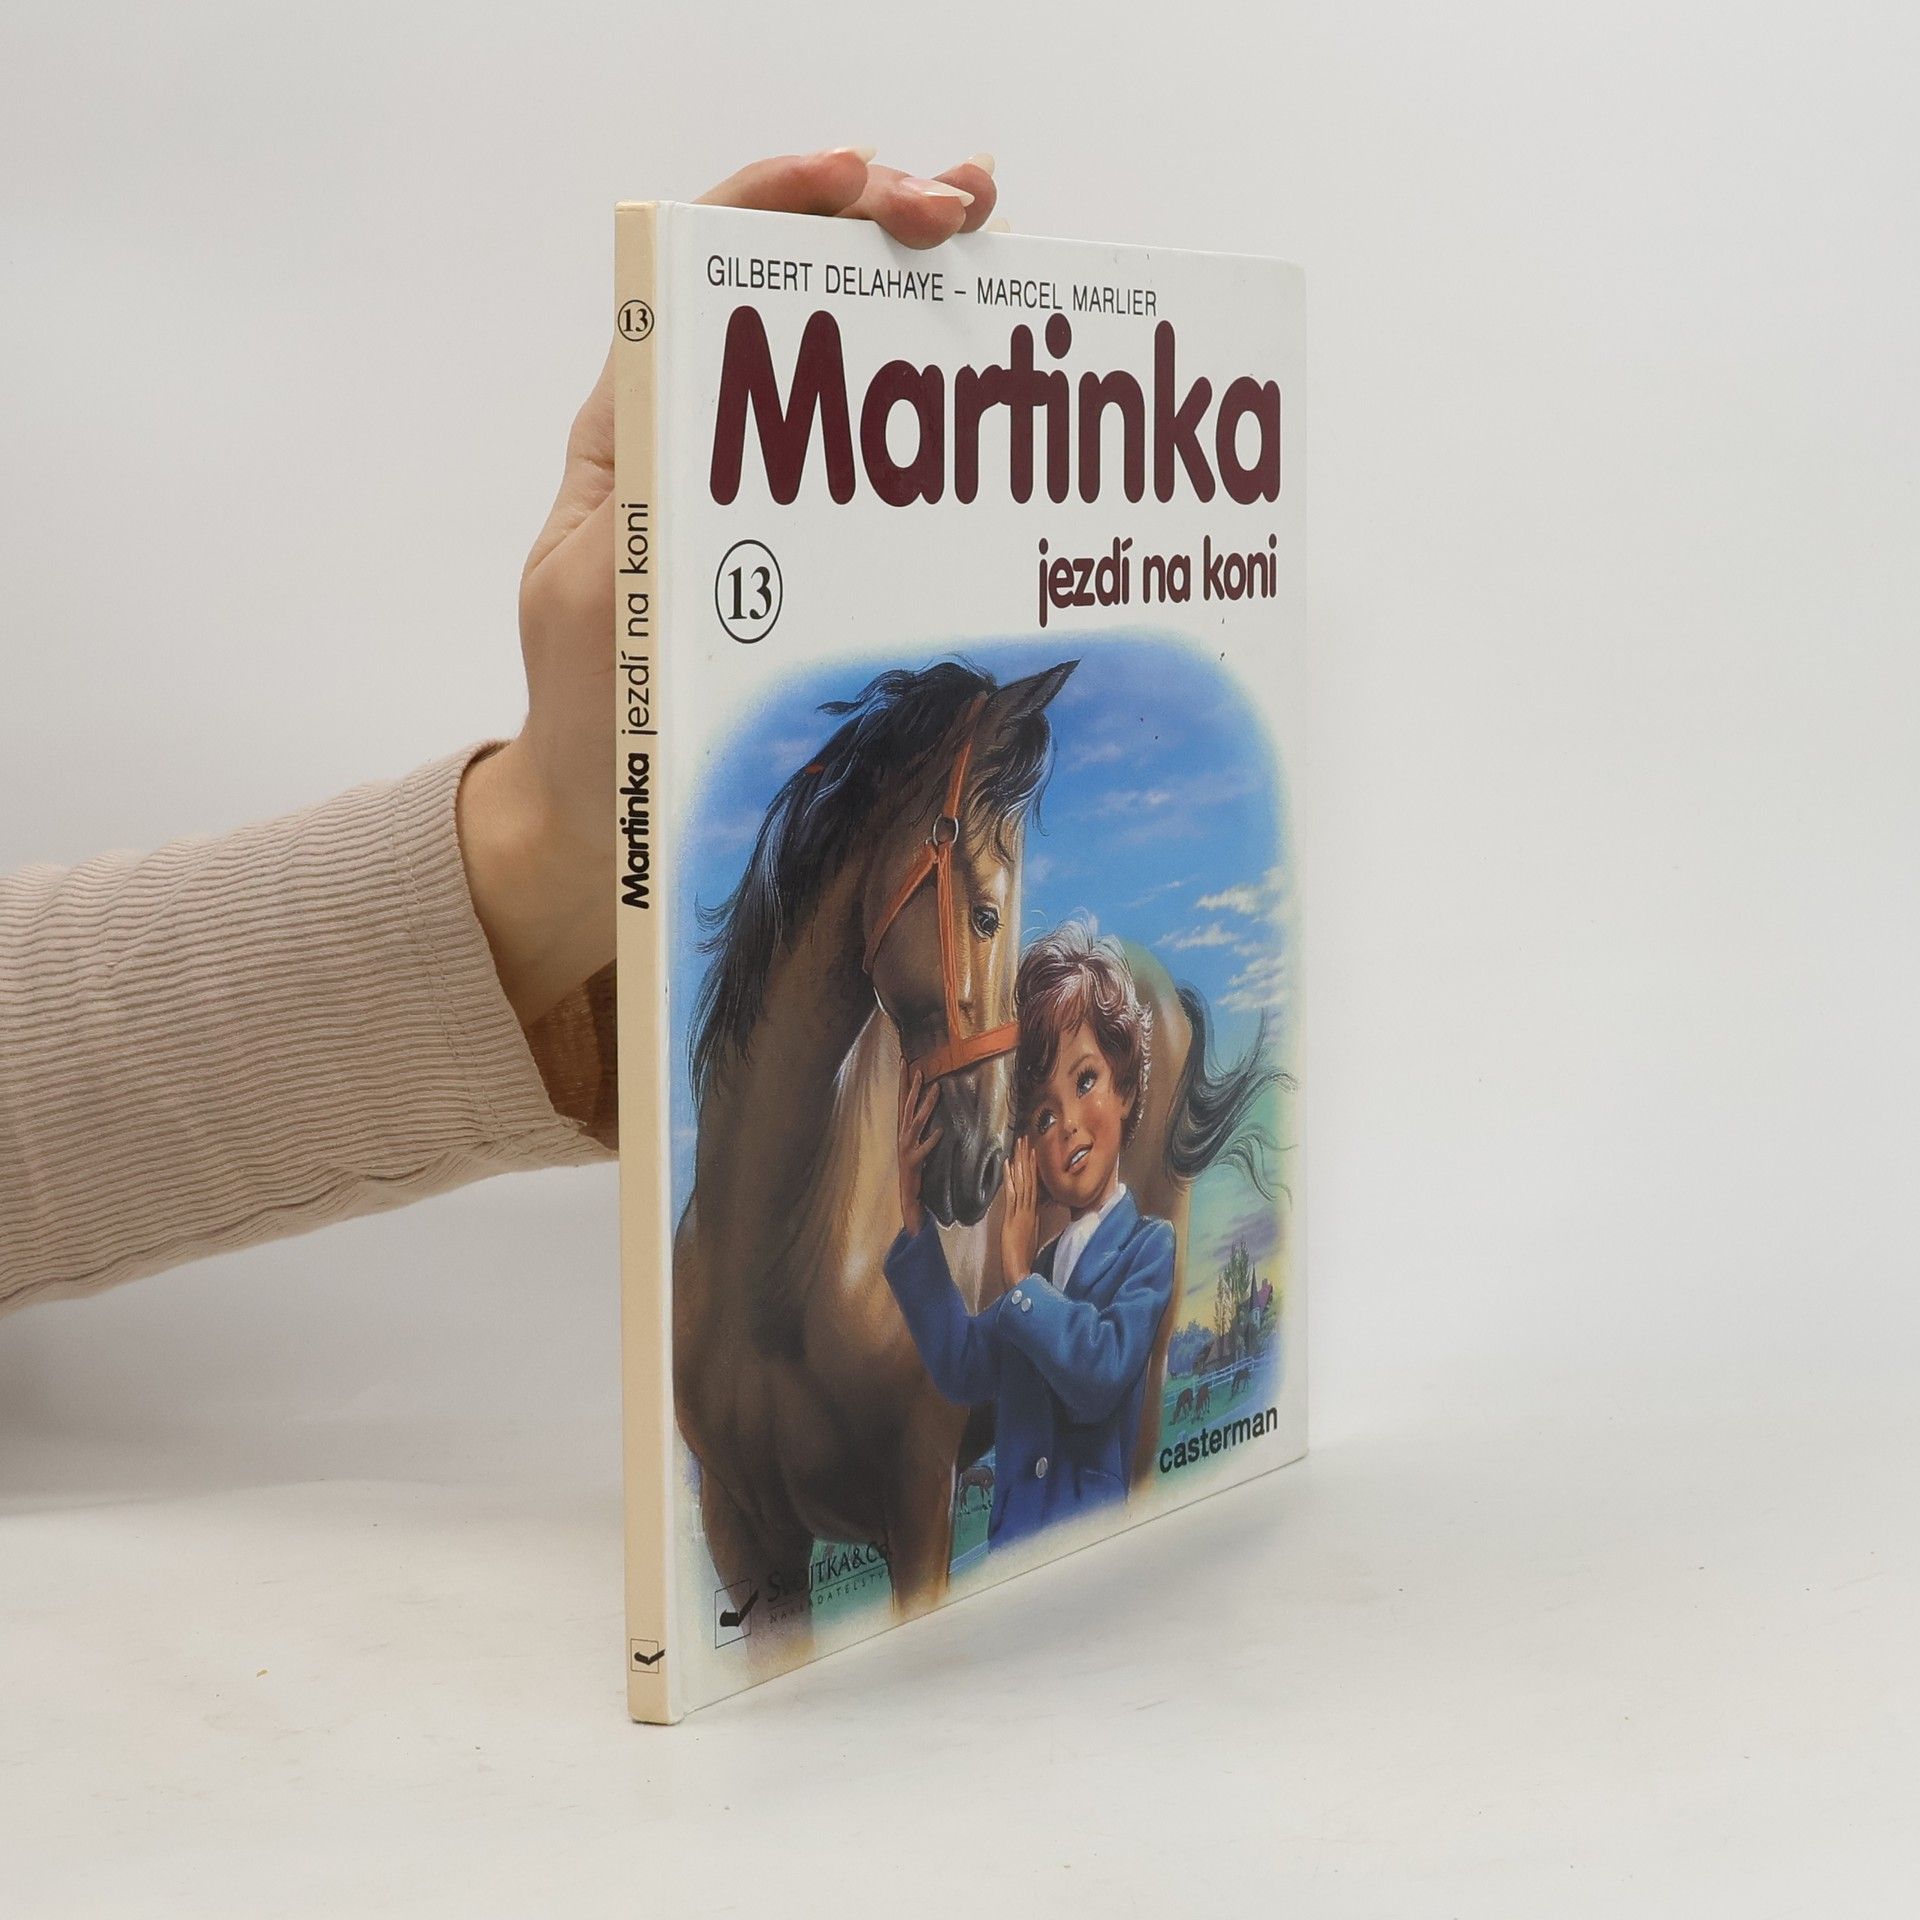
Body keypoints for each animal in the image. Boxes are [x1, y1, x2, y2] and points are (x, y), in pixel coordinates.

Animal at [673, 658, 1279, 1653]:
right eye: (988, 914)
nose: (989, 1166)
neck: (775, 1274)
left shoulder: (921, 1513)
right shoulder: (748, 1545)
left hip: (1145, 1377)